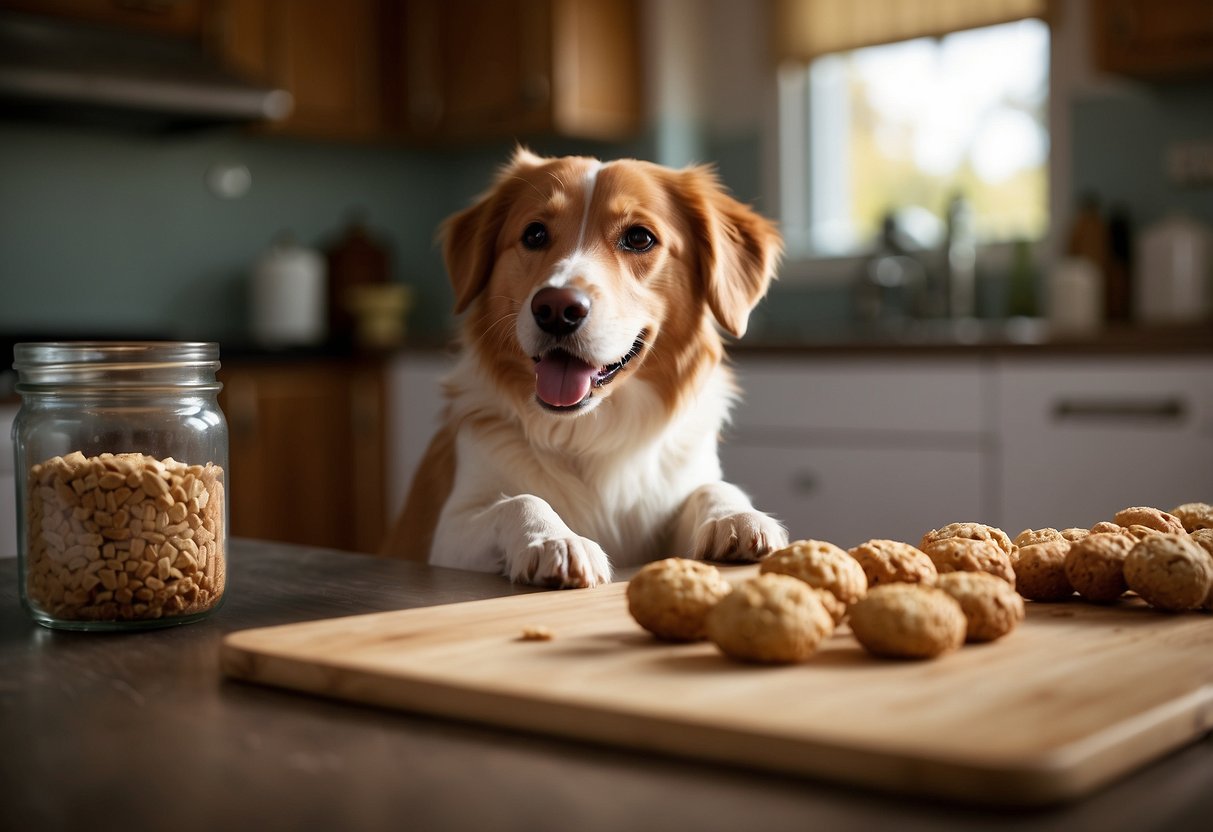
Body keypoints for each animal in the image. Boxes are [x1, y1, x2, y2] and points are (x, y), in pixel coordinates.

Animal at [383, 151, 790, 594]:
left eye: (639, 238)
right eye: (535, 234)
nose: (556, 309)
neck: (589, 430)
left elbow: (712, 487)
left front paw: (735, 516)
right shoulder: (448, 528)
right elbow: (521, 499)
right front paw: (554, 539)